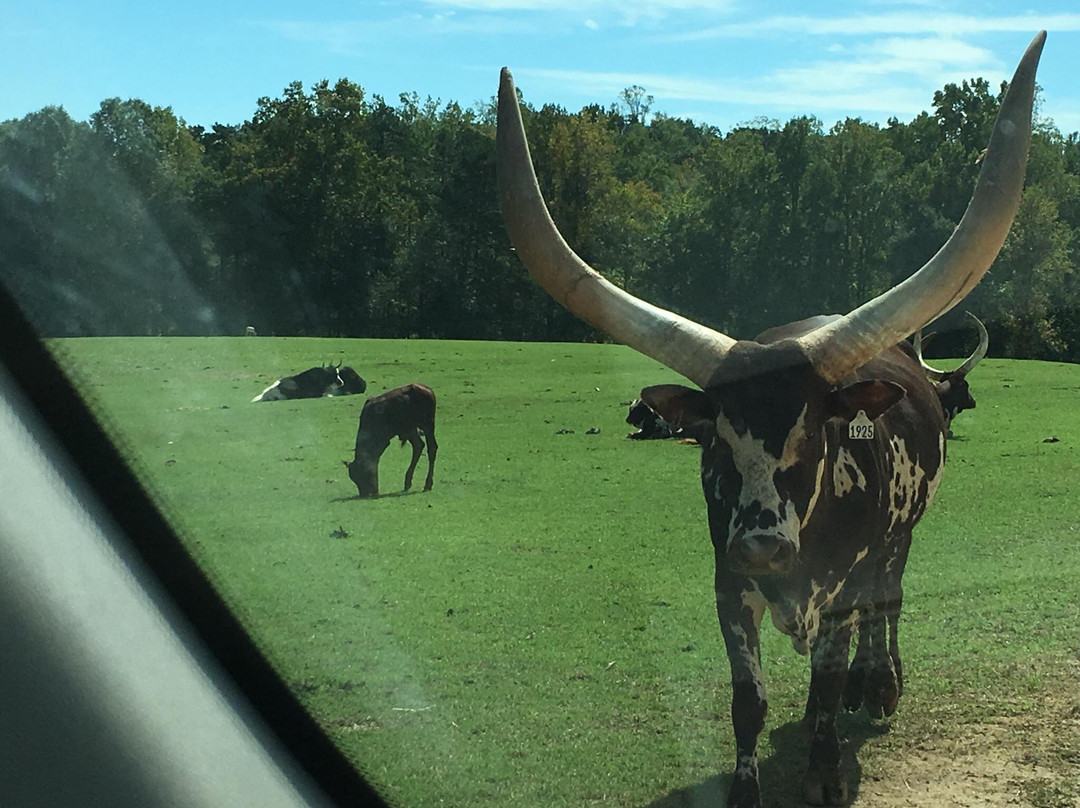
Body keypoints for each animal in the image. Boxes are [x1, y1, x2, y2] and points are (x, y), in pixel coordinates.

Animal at [496, 31, 1045, 808]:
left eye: (814, 436)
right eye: (713, 442)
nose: (761, 546)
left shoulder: (843, 588)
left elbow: (831, 674)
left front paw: (825, 767)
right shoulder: (728, 588)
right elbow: (748, 701)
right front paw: (746, 787)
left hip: (900, 539)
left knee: (889, 604)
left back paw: (881, 686)